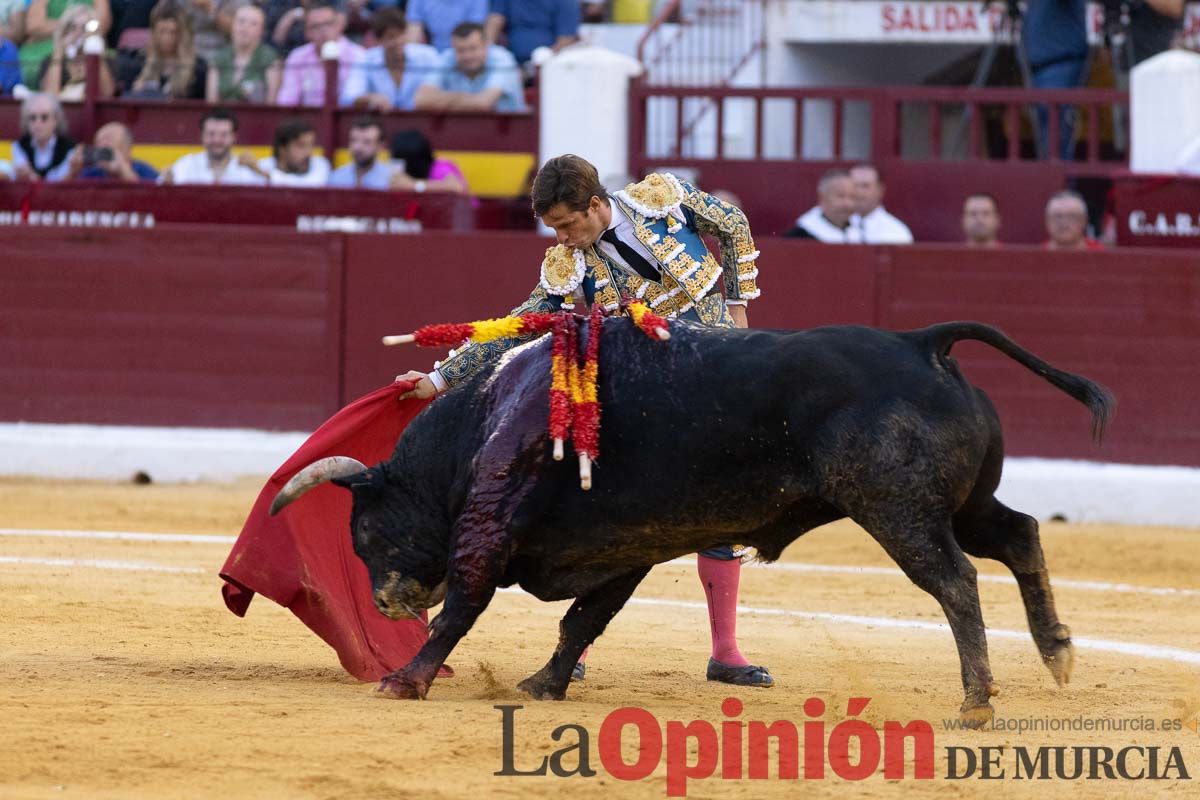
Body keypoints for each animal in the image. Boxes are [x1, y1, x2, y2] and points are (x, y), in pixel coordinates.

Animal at [272, 316, 1113, 724]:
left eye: (365, 532)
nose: (387, 603)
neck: (486, 416)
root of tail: (922, 344)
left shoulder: (491, 521)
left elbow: (468, 603)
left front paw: (405, 681)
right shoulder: (626, 547)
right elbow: (583, 620)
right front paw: (545, 684)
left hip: (897, 509)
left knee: (956, 580)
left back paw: (977, 700)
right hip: (961, 504)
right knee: (1019, 534)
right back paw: (1056, 652)